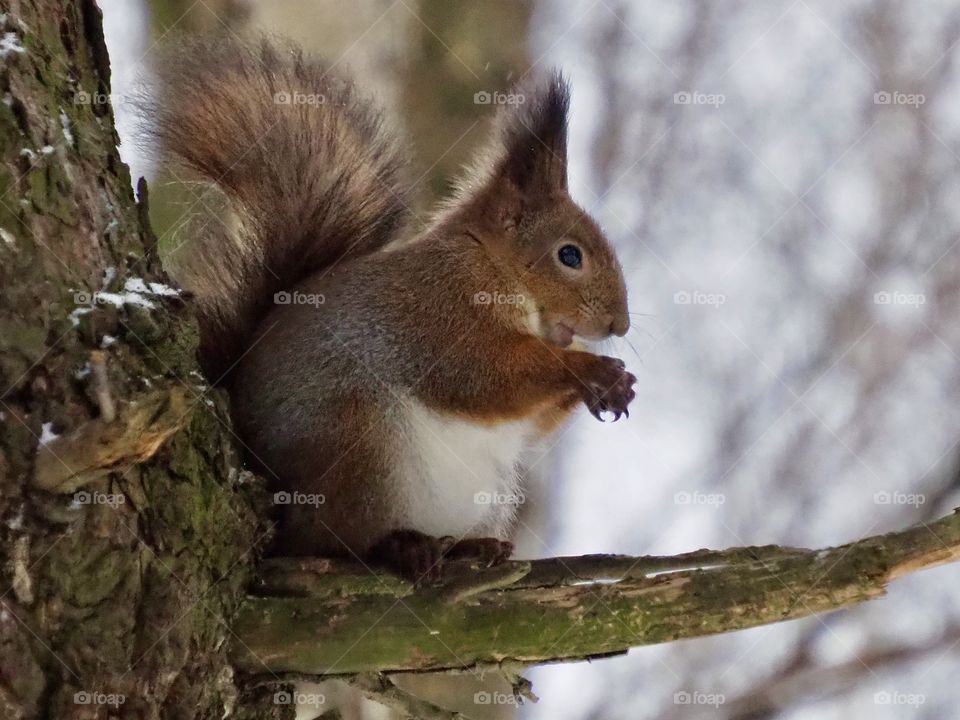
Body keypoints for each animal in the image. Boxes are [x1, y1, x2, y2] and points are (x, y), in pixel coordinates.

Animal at [141, 35, 636, 582]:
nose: (619, 324)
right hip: (358, 444)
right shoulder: (439, 312)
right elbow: (486, 377)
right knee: (327, 540)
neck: (492, 268)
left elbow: (531, 422)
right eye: (569, 256)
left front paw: (614, 384)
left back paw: (470, 546)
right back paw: (401, 546)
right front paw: (591, 368)